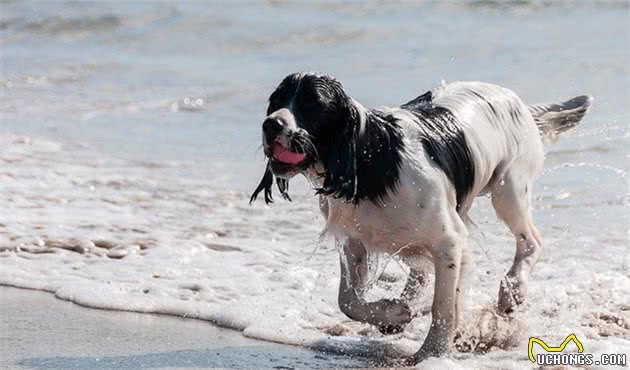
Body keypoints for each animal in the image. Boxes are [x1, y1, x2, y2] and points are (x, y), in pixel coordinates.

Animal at [251, 72, 592, 362]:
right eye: (276, 100)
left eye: (313, 104)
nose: (271, 124)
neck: (371, 158)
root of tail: (517, 100)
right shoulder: (354, 240)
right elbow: (348, 300)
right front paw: (394, 313)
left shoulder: (448, 240)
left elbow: (443, 307)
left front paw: (431, 354)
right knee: (424, 272)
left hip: (508, 190)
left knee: (531, 241)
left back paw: (513, 290)